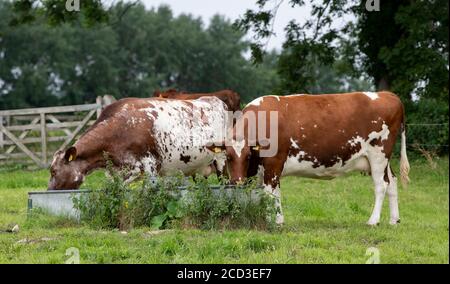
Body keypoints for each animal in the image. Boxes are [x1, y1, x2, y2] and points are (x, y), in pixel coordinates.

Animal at [48, 96, 229, 190]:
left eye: (54, 171)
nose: (49, 191)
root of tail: (214, 99)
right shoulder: (115, 171)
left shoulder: (149, 165)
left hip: (221, 158)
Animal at [209, 91, 410, 226]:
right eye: (228, 156)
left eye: (248, 155)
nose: (237, 182)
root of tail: (387, 94)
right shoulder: (264, 168)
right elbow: (270, 194)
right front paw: (275, 219)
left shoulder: (274, 162)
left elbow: (269, 193)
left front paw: (272, 221)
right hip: (382, 160)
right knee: (392, 181)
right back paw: (394, 219)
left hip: (378, 154)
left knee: (381, 185)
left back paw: (373, 220)